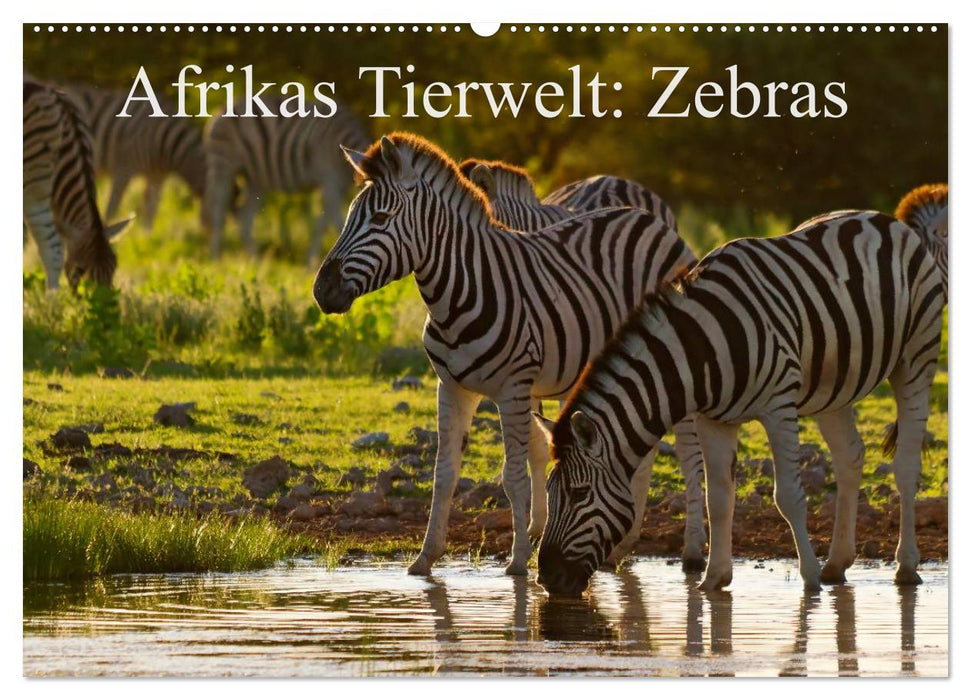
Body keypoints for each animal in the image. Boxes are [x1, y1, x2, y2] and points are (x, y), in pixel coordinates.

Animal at [203, 98, 369, 262]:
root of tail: (219, 110)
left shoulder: (341, 187)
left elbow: (322, 225)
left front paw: (312, 260)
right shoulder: (330, 180)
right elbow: (336, 221)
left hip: (255, 179)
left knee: (245, 216)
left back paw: (254, 259)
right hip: (223, 162)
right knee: (218, 209)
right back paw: (215, 257)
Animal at [534, 211, 944, 595]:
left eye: (579, 494)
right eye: (550, 492)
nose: (547, 578)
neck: (699, 348)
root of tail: (884, 219)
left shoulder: (779, 405)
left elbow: (788, 496)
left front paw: (809, 581)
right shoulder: (712, 420)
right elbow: (718, 499)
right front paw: (713, 579)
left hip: (915, 360)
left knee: (906, 465)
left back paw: (905, 567)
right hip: (833, 387)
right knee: (850, 458)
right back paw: (837, 563)